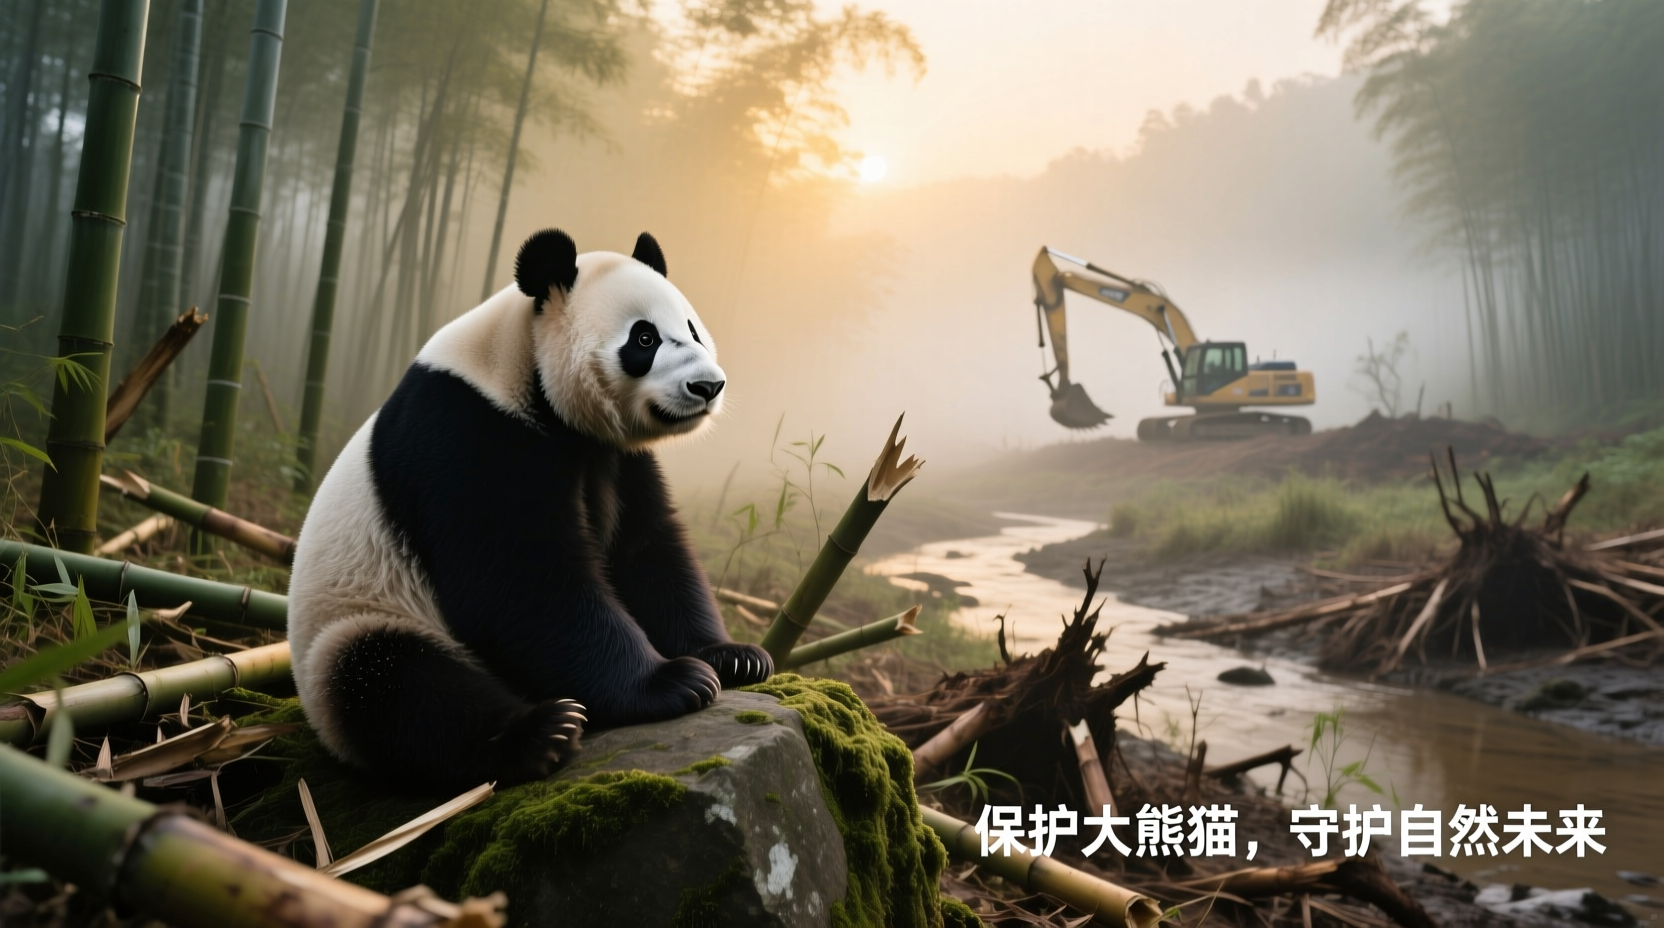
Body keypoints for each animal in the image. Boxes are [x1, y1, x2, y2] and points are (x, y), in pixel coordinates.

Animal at [287, 228, 774, 792]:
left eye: (693, 328)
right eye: (644, 339)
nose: (707, 386)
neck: (521, 367)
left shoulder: (616, 458)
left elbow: (649, 550)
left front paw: (731, 656)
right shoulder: (468, 433)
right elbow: (520, 581)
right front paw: (673, 681)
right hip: (358, 619)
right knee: (393, 685)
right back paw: (541, 733)